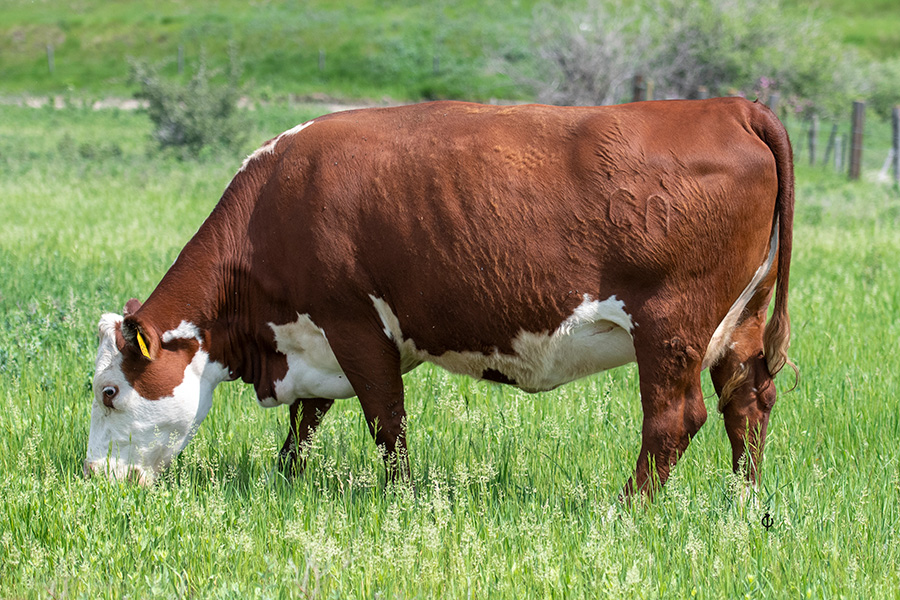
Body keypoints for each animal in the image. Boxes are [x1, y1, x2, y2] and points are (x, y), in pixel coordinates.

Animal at [85, 97, 795, 499]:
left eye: (109, 391)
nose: (93, 478)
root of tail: (728, 105)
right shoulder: (312, 339)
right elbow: (305, 422)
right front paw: (285, 479)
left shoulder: (352, 322)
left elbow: (385, 419)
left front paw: (398, 497)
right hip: (741, 321)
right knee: (746, 402)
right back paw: (741, 503)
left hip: (670, 324)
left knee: (675, 417)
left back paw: (629, 506)